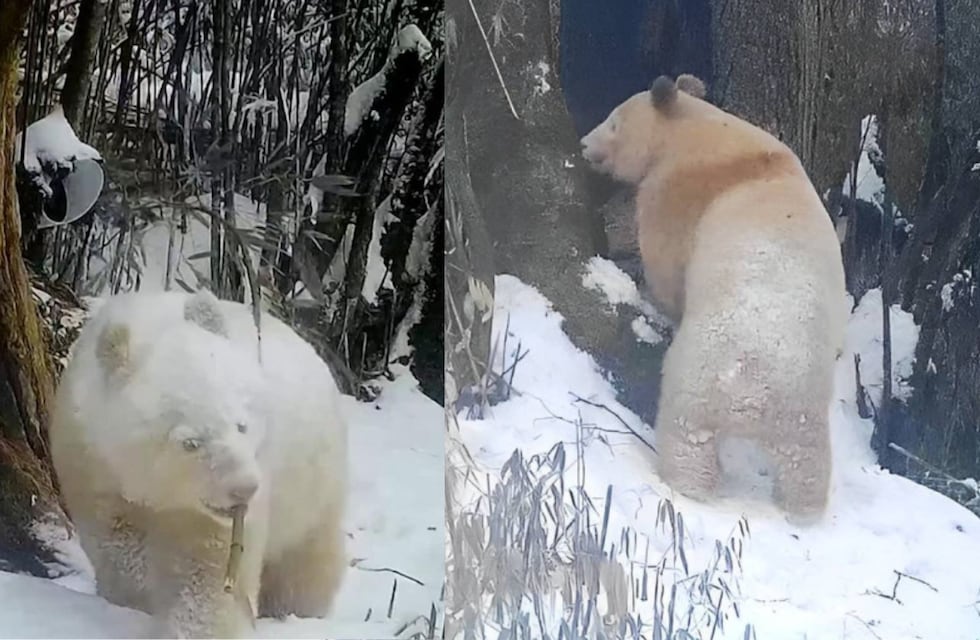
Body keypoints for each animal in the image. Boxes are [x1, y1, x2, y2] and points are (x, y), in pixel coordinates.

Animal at [48, 288, 348, 637]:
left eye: (242, 425)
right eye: (190, 442)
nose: (245, 489)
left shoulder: (210, 514)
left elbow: (207, 571)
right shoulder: (92, 462)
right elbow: (116, 545)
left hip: (314, 485)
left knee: (304, 564)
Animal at [579, 74, 847, 524]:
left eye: (613, 122)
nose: (584, 144)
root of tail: (755, 402)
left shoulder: (681, 187)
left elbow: (665, 262)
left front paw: (649, 292)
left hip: (701, 373)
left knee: (686, 432)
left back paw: (688, 484)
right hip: (803, 408)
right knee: (806, 463)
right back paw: (802, 509)